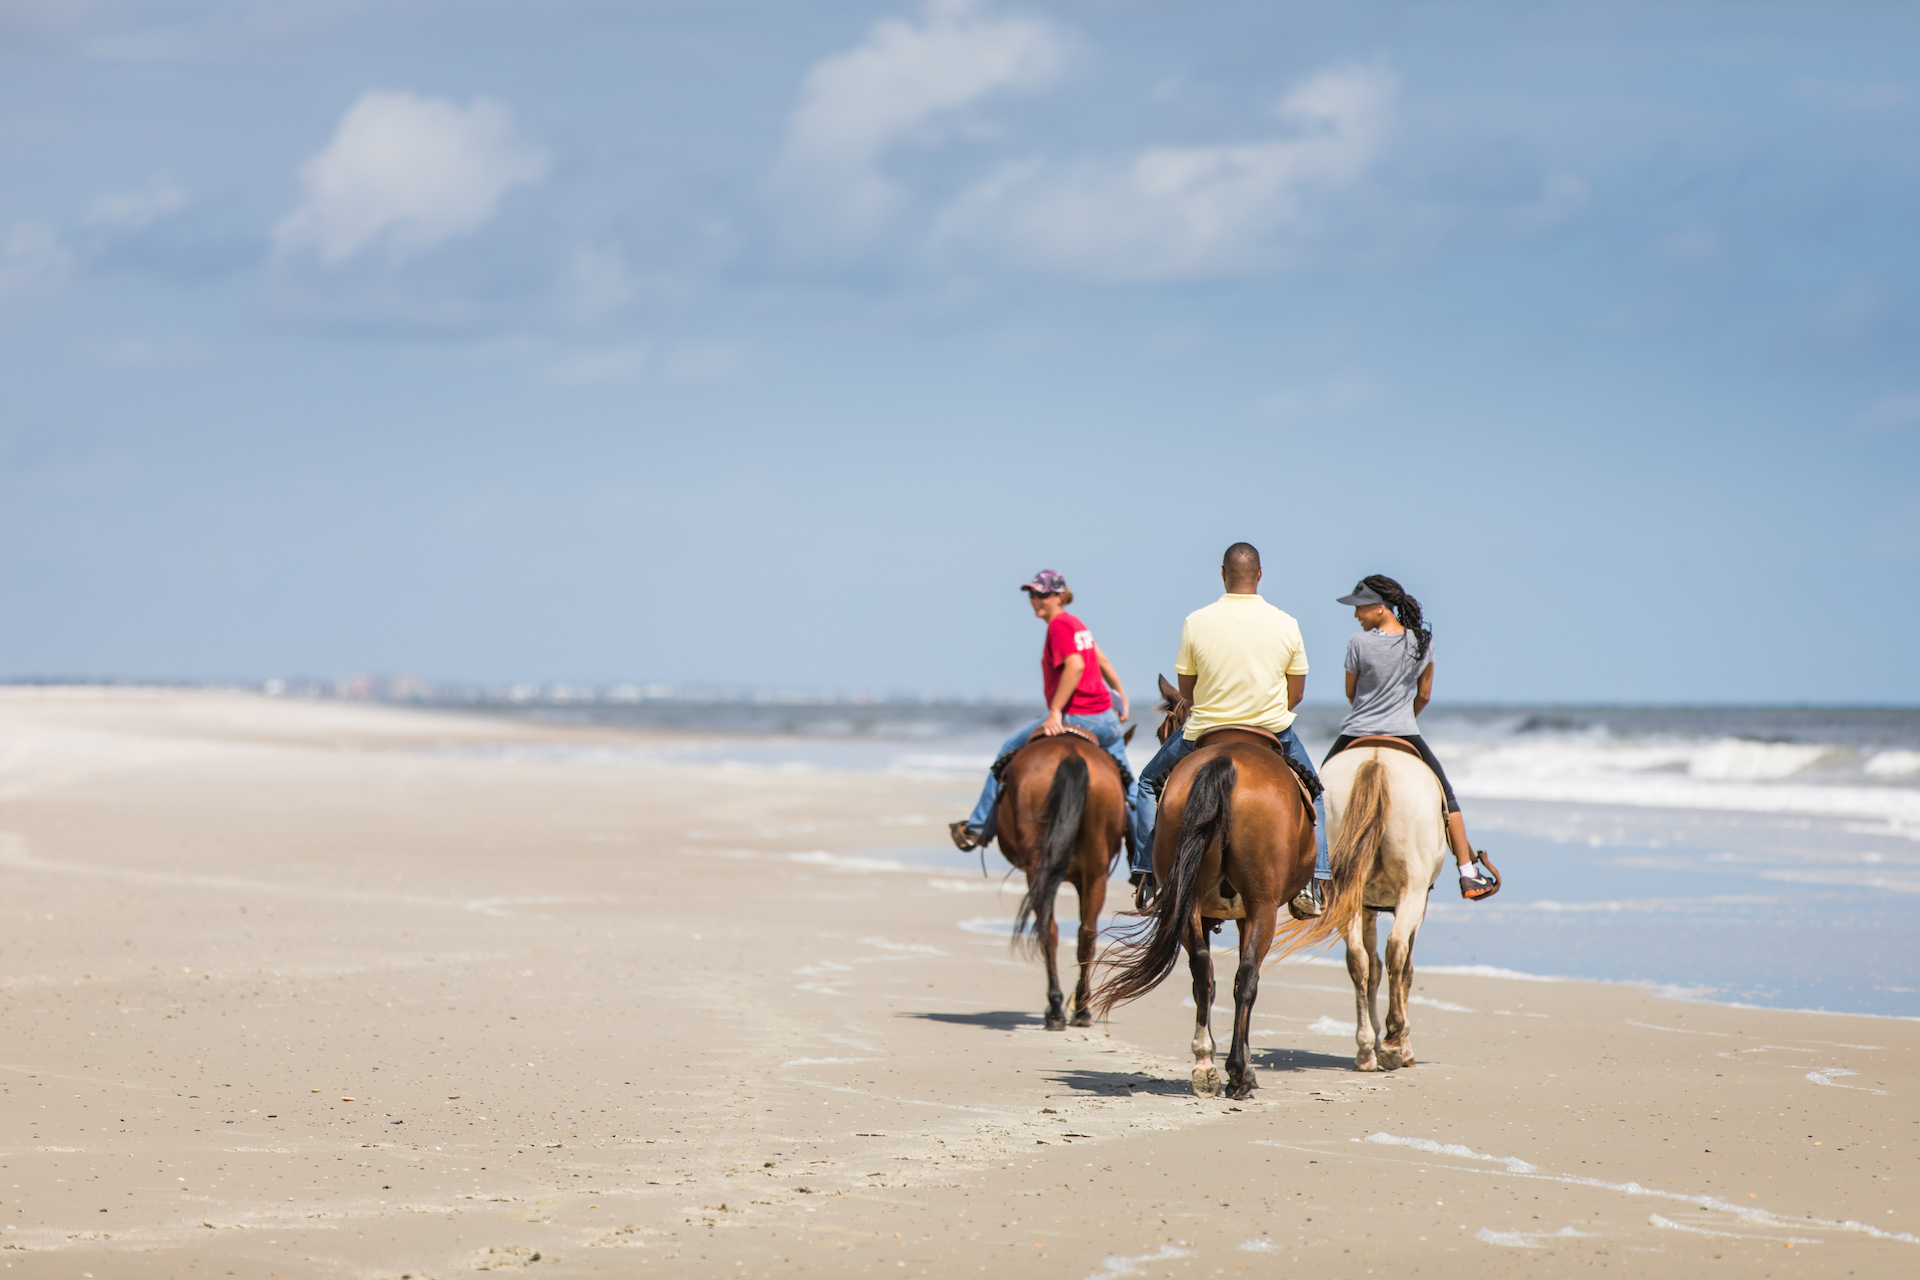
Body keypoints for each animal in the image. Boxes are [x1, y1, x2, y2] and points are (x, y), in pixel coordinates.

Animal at [995, 727, 1132, 1031]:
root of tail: (1071, 755)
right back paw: (1080, 1009)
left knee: (1050, 929)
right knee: (1085, 933)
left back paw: (1057, 1008)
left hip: (1039, 870)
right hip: (1095, 870)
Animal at [1092, 680, 1324, 1099]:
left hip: (1191, 900)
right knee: (1246, 978)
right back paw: (1237, 1074)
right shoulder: (1250, 911)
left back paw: (1205, 1066)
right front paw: (1244, 1068)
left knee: (1203, 972)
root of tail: (1225, 762)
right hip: (1262, 905)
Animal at [1316, 741, 1454, 1071]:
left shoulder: (1365, 905)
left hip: (1347, 892)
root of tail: (1375, 763)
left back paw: (1366, 1050)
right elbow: (1405, 971)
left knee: (1358, 959)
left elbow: (1372, 966)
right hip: (1413, 891)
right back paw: (1392, 1044)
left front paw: (1376, 1041)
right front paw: (1403, 1046)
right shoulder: (1419, 904)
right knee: (1396, 950)